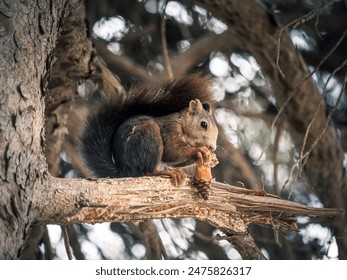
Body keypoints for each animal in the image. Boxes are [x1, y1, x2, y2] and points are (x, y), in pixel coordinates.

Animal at [80, 73, 219, 185]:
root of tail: (124, 170)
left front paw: (212, 158)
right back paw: (168, 172)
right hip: (147, 135)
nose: (212, 147)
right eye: (203, 124)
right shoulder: (170, 130)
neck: (181, 124)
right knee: (146, 171)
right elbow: (173, 151)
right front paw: (199, 150)